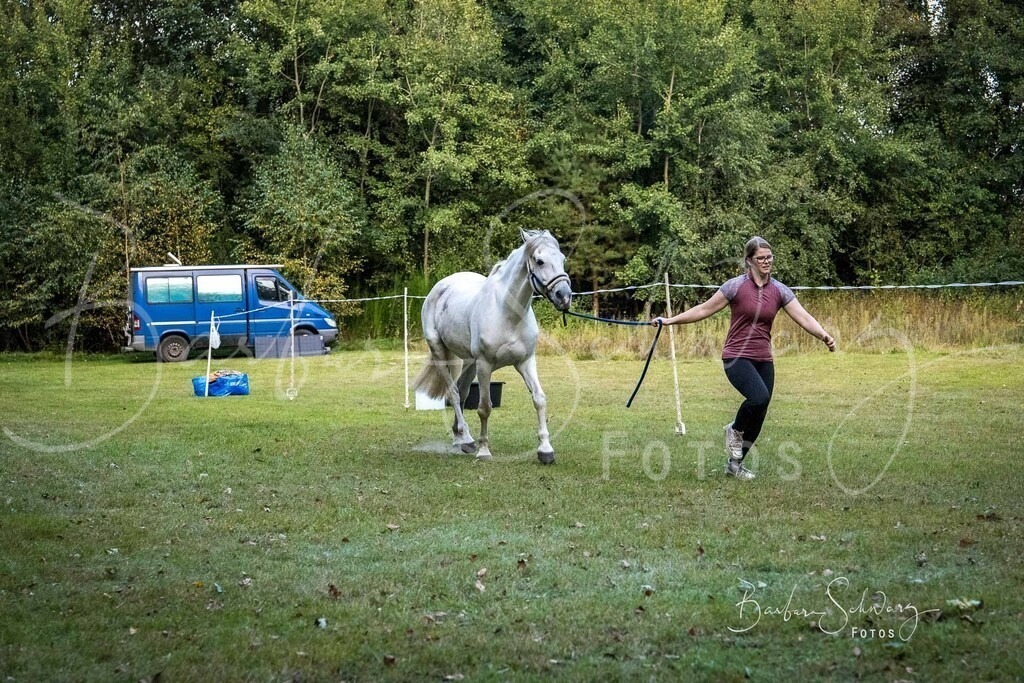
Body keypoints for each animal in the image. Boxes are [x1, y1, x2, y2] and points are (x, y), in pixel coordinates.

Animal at [413, 229, 573, 463]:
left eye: (562, 259)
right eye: (539, 261)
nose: (564, 296)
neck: (507, 313)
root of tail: (440, 287)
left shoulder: (526, 362)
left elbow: (539, 399)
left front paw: (545, 450)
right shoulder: (485, 365)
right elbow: (484, 407)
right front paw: (483, 450)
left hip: (469, 362)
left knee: (462, 391)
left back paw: (461, 437)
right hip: (441, 354)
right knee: (453, 393)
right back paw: (467, 438)